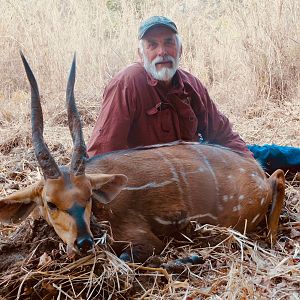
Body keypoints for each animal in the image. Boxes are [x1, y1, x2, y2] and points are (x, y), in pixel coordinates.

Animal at [0, 54, 286, 262]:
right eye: (50, 203)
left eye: (88, 196)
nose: (84, 243)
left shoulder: (144, 239)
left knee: (279, 178)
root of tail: (256, 172)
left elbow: (132, 255)